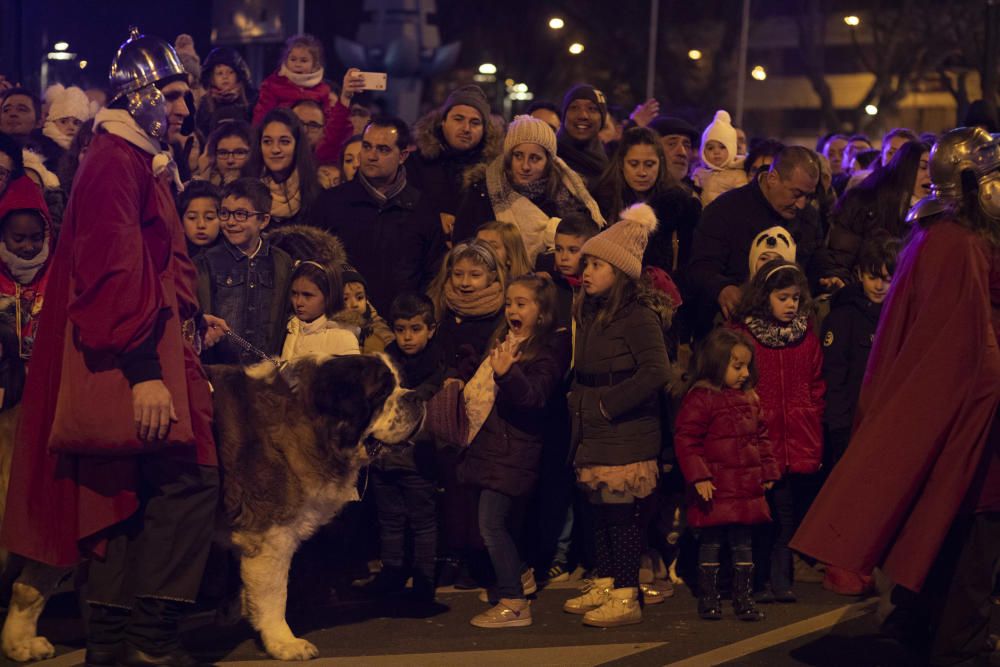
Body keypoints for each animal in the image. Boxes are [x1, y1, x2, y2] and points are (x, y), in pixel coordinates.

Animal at [0, 354, 422, 664]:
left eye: (401, 383)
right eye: (382, 391)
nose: (417, 396)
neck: (311, 419)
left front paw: (236, 610)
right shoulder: (272, 538)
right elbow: (276, 594)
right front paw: (284, 642)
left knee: (28, 585)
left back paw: (21, 645)